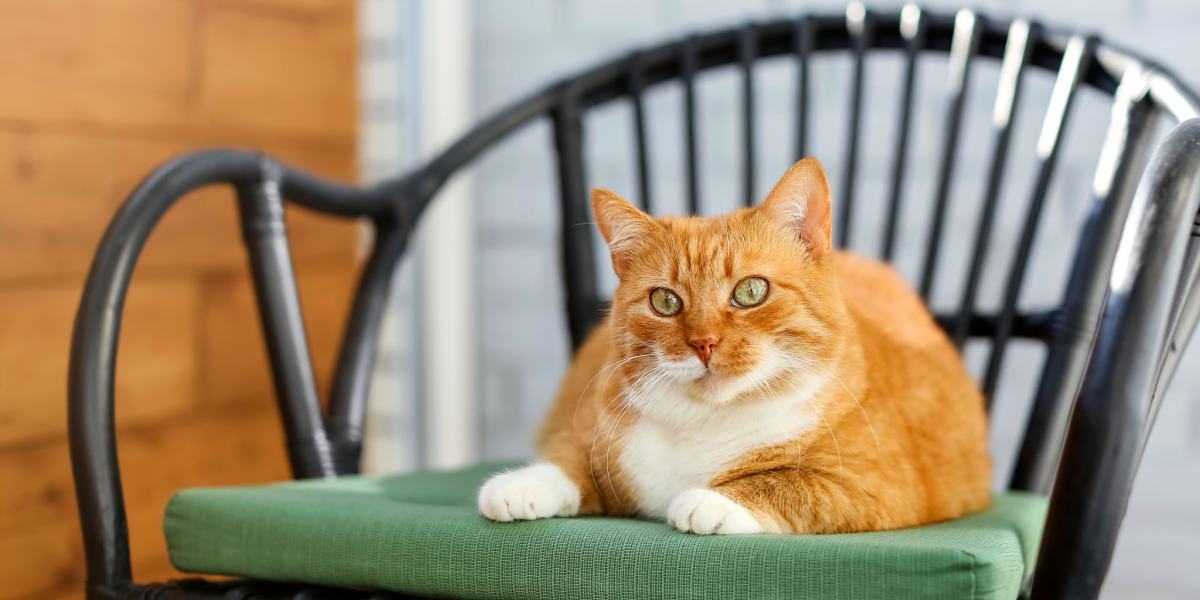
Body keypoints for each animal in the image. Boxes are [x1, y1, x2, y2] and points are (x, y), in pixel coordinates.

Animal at [472, 159, 988, 535]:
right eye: (665, 301)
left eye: (750, 291)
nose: (703, 343)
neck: (703, 423)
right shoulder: (599, 440)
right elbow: (569, 458)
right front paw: (521, 483)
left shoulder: (878, 485)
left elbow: (789, 482)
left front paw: (712, 499)